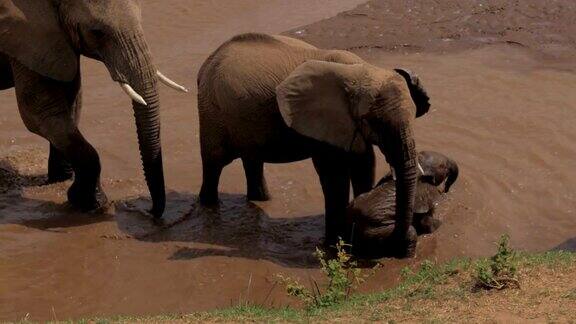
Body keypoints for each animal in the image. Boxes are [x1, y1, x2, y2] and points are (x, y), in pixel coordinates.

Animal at [0, 0, 186, 218]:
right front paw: (93, 204)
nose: (149, 211)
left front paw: (60, 182)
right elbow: (39, 114)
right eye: (97, 33)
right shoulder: (26, 35)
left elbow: (72, 103)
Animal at [200, 33, 430, 258]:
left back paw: (261, 199)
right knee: (214, 164)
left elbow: (364, 165)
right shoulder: (323, 121)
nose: (401, 247)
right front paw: (336, 244)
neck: (362, 70)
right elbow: (334, 174)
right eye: (375, 122)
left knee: (252, 159)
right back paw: (208, 207)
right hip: (211, 111)